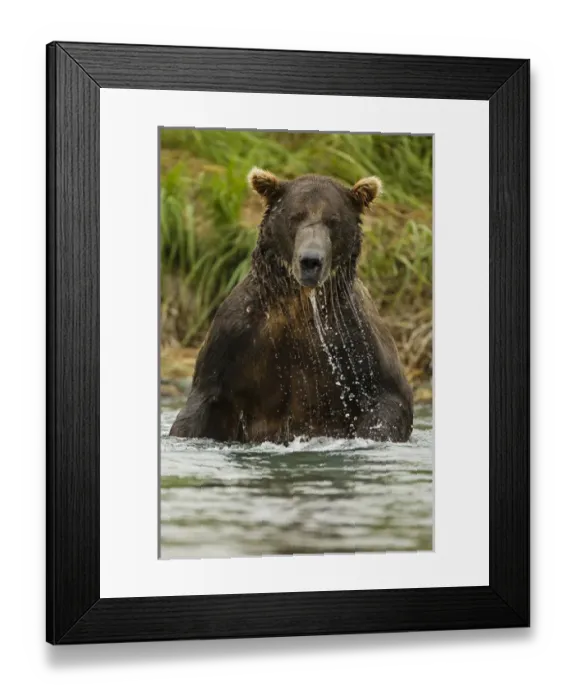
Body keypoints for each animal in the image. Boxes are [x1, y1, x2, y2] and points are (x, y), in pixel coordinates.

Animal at [169, 167, 414, 443]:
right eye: (295, 217)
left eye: (333, 220)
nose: (311, 260)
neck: (300, 302)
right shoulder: (236, 336)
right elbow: (201, 405)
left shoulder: (354, 338)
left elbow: (389, 398)